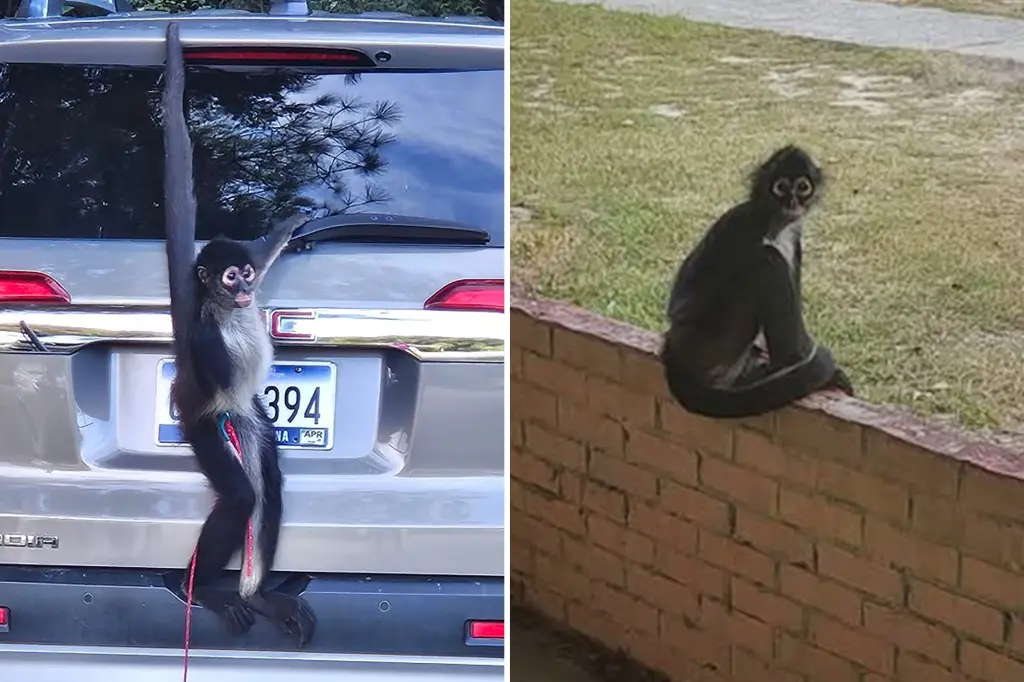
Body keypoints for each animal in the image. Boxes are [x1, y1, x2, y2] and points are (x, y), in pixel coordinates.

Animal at [659, 144, 854, 419]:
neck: (774, 222)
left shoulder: (794, 239)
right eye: (781, 187)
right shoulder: (742, 224)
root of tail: (674, 347)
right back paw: (790, 361)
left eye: (803, 186)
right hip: (719, 340)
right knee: (767, 260)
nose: (792, 202)